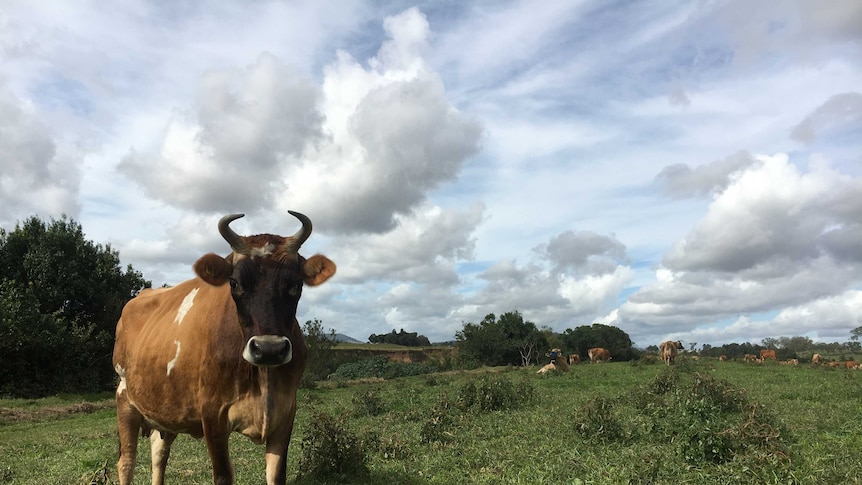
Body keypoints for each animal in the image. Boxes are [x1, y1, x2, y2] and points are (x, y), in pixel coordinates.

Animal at [111, 212, 334, 484]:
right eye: (234, 283)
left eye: (296, 285)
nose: (269, 349)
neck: (263, 377)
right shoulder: (212, 414)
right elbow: (223, 476)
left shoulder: (286, 413)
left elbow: (276, 474)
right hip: (124, 398)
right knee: (126, 462)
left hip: (165, 411)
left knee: (159, 453)